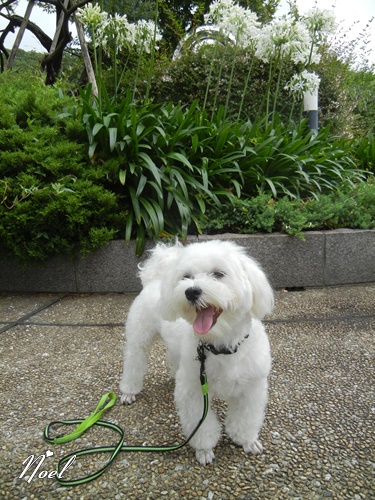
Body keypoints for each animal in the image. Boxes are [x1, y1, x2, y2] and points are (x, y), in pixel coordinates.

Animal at [119, 238, 274, 464]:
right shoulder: (194, 392)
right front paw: (204, 450)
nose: (191, 291)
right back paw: (129, 391)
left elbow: (245, 419)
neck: (220, 345)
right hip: (139, 337)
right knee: (134, 360)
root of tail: (155, 279)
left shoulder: (251, 389)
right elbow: (202, 426)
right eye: (186, 277)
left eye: (218, 274)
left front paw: (247, 441)